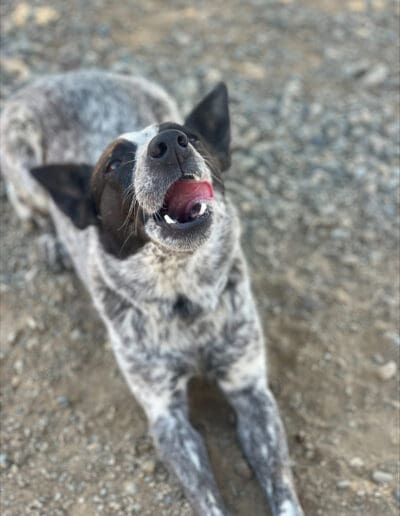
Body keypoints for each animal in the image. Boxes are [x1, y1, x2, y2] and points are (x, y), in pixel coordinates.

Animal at [0, 69, 304, 516]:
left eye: (191, 137)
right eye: (113, 164)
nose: (169, 145)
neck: (183, 300)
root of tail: (62, 76)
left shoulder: (250, 391)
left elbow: (280, 483)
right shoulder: (167, 417)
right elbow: (207, 498)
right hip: (23, 168)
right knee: (32, 212)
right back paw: (51, 243)